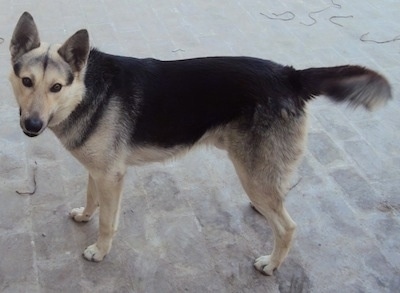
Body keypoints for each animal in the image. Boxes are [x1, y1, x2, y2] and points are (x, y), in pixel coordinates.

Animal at [8, 12, 390, 276]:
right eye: (26, 81)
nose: (32, 125)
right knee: (278, 199)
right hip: (260, 173)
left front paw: (99, 251)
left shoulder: (112, 177)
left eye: (56, 87)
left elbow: (108, 222)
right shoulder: (99, 170)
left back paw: (271, 263)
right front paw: (85, 215)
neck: (86, 89)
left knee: (288, 226)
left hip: (252, 174)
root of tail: (290, 75)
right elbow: (91, 199)